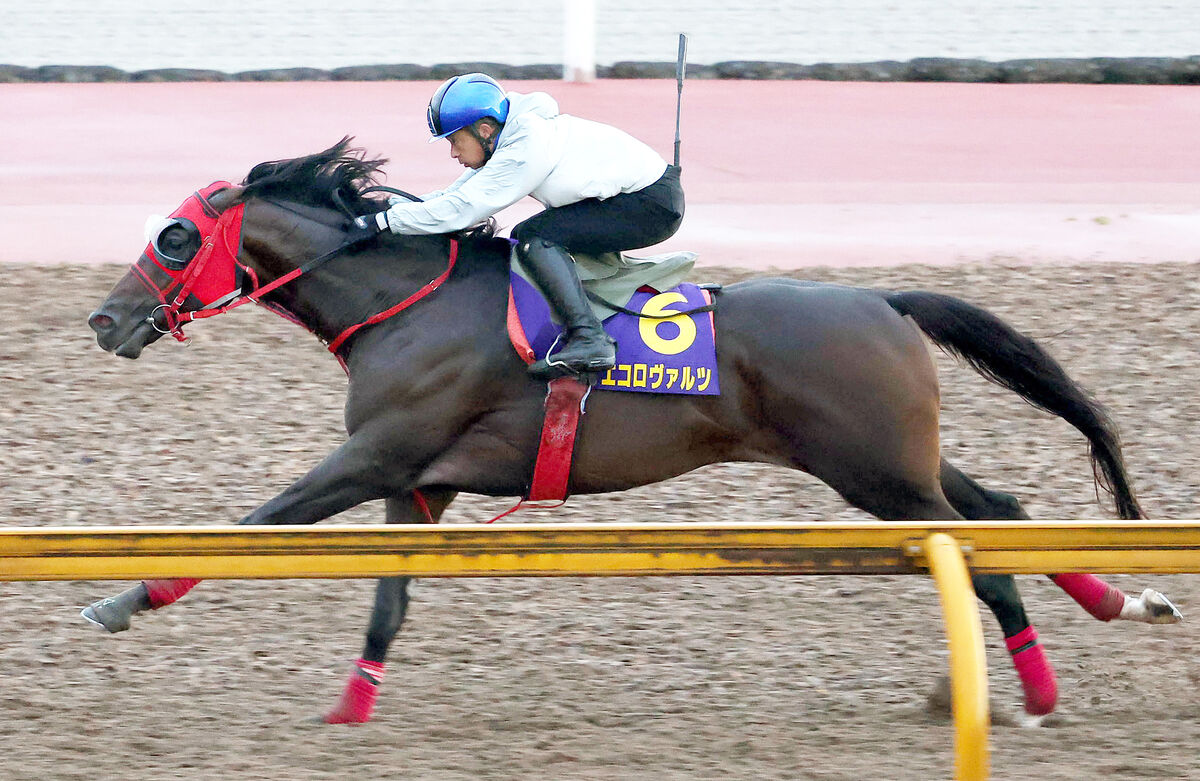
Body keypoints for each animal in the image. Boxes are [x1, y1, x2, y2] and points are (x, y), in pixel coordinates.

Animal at [84, 139, 1180, 729]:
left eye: (174, 238)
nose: (104, 320)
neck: (406, 302)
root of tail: (883, 299)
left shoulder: (374, 457)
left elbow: (251, 524)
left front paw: (119, 600)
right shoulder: (418, 481)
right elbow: (388, 602)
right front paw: (352, 709)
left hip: (875, 473)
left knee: (978, 547)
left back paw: (1039, 684)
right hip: (892, 459)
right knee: (1003, 508)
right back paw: (1110, 613)